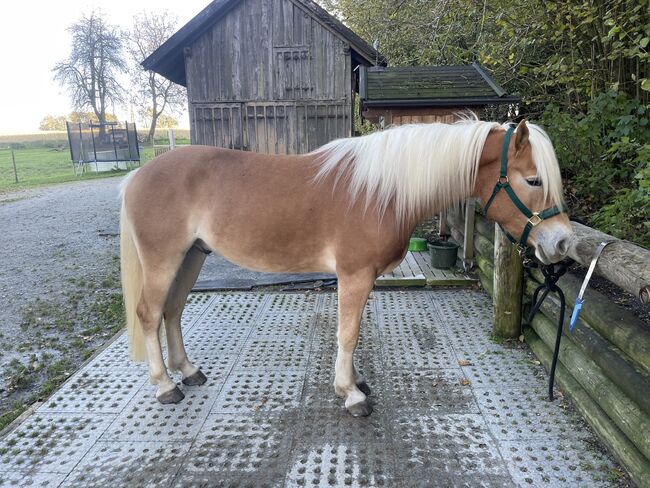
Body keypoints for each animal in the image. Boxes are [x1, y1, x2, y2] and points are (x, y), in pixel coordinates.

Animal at [121, 117, 572, 416]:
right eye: (533, 180)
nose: (563, 243)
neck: (380, 191)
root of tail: (139, 175)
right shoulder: (354, 275)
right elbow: (348, 334)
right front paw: (350, 395)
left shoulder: (362, 279)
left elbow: (353, 333)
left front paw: (355, 382)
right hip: (165, 259)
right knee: (149, 314)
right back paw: (165, 386)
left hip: (192, 256)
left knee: (172, 311)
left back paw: (188, 371)